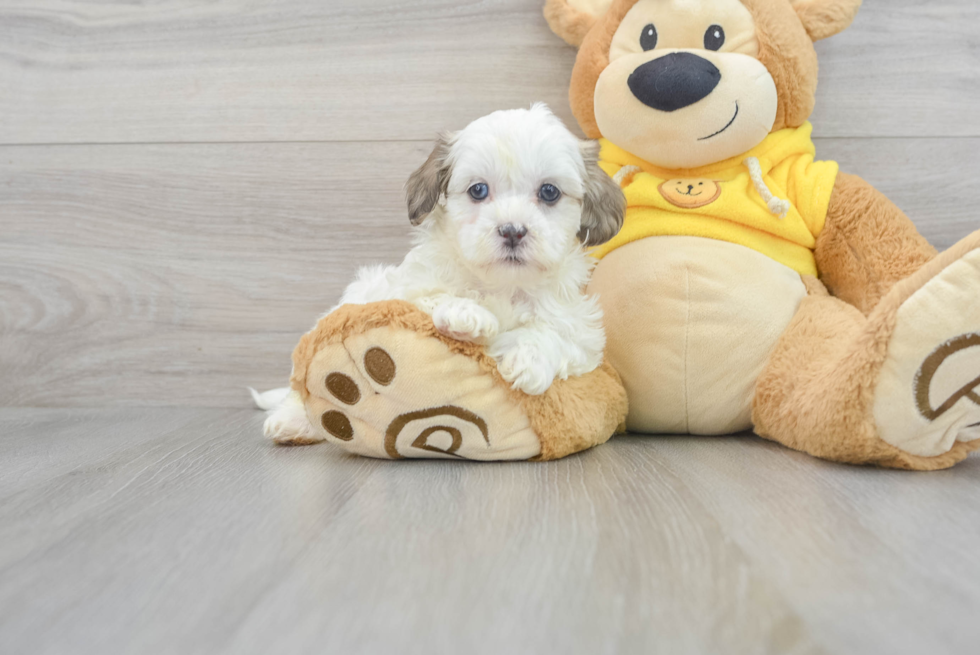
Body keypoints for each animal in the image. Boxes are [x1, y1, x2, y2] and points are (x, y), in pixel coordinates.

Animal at [256, 105, 624, 444]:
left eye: (549, 192)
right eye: (478, 190)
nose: (513, 231)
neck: (501, 285)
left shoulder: (581, 332)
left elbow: (555, 334)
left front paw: (528, 359)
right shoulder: (403, 292)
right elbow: (430, 297)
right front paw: (467, 314)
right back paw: (293, 421)